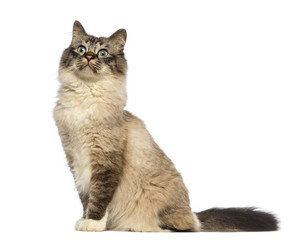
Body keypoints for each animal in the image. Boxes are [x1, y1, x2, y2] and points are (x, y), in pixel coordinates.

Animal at [54, 21, 278, 232]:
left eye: (102, 53)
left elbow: (100, 196)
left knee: (186, 227)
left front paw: (94, 223)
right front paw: (84, 220)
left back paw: (144, 227)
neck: (85, 96)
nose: (89, 57)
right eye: (81, 49)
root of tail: (194, 214)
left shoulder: (105, 161)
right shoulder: (75, 159)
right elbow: (86, 197)